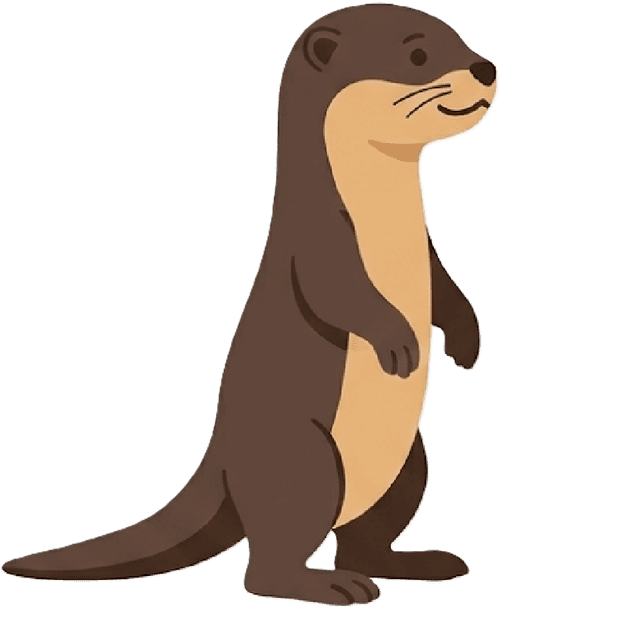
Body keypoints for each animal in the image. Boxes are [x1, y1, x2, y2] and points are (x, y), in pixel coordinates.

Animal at [2, 4, 499, 606]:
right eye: (418, 54)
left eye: (462, 40)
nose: (485, 67)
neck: (381, 218)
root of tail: (222, 459)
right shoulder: (318, 243)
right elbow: (342, 296)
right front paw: (399, 343)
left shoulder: (423, 250)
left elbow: (446, 290)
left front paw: (466, 343)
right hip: (303, 457)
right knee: (266, 564)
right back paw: (329, 585)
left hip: (407, 460)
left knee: (366, 535)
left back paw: (418, 563)